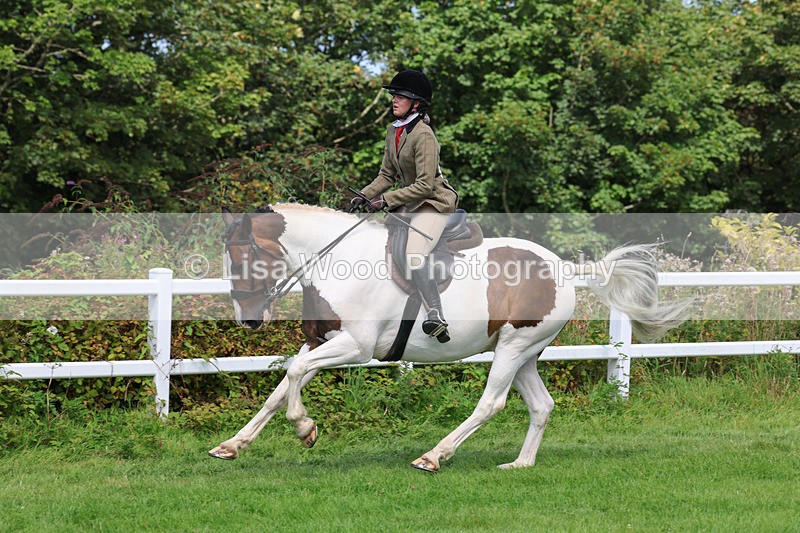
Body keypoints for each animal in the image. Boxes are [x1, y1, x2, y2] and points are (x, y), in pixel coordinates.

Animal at [209, 204, 688, 471]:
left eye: (247, 257)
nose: (247, 321)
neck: (333, 260)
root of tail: (564, 269)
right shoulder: (320, 342)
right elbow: (281, 386)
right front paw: (231, 445)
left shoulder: (355, 347)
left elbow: (294, 376)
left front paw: (305, 428)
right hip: (524, 352)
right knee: (541, 405)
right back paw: (520, 464)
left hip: (513, 348)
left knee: (491, 403)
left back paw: (434, 457)